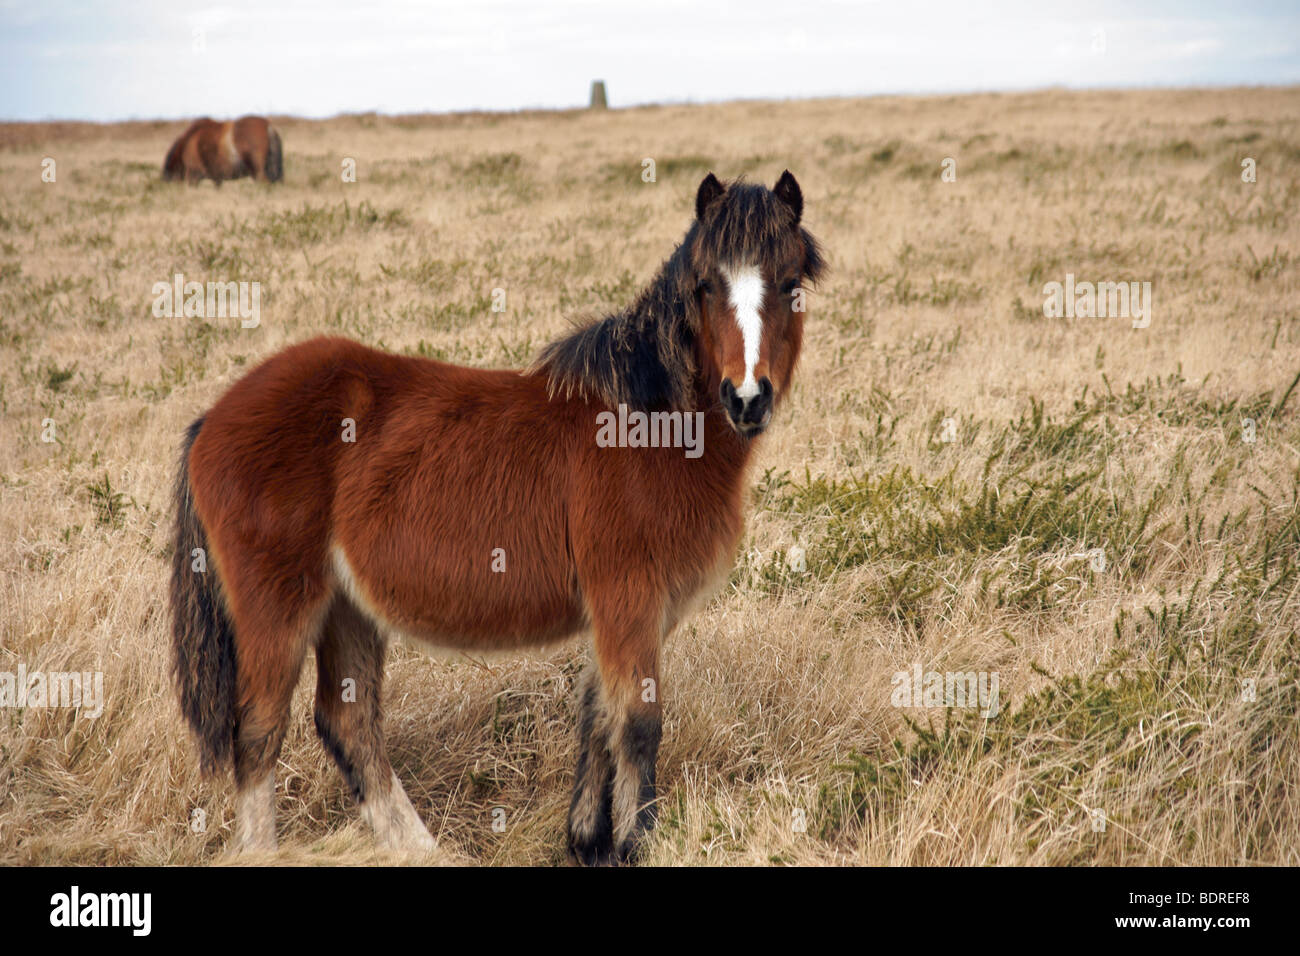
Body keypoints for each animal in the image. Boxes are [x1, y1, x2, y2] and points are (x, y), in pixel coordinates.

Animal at [170, 171, 821, 868]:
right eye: (706, 286)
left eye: (790, 283)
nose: (747, 398)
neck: (648, 423)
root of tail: (213, 415)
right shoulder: (630, 600)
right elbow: (639, 725)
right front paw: (633, 845)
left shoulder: (626, 611)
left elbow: (597, 715)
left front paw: (587, 841)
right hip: (278, 608)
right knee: (259, 731)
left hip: (348, 607)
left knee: (350, 725)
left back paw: (421, 850)